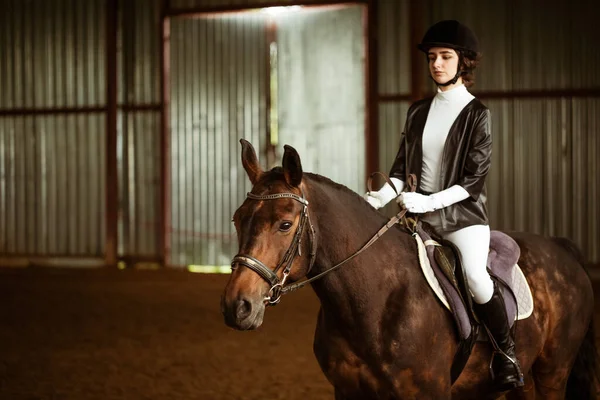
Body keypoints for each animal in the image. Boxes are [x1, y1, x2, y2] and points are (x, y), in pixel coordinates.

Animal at [221, 139, 600, 398]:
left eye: (285, 225)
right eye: (237, 219)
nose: (237, 306)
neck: (372, 304)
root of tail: (562, 248)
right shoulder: (347, 391)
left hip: (553, 373)